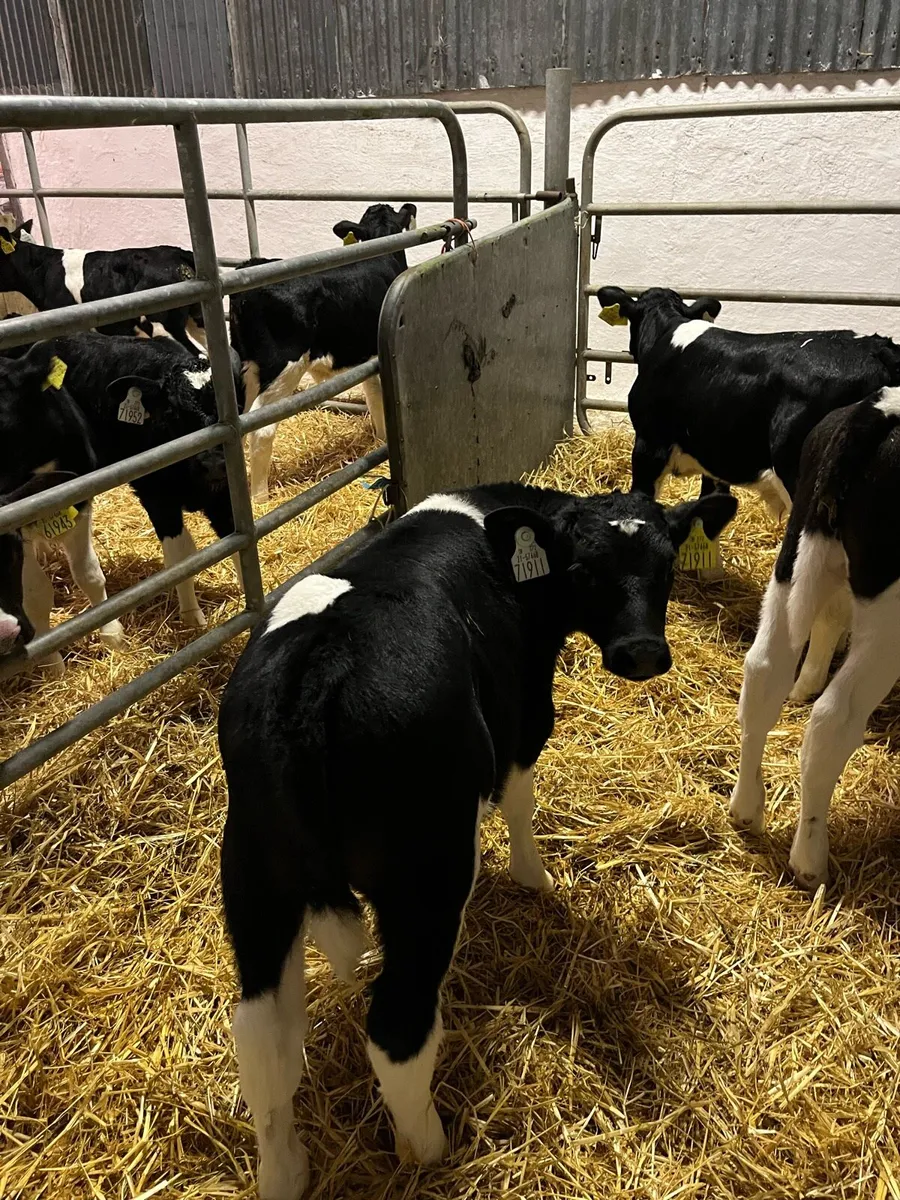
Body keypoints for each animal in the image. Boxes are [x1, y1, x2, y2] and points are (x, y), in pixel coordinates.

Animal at [217, 478, 737, 1198]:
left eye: (666, 567)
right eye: (583, 570)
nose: (641, 653)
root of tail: (314, 669)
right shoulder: (524, 716)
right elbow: (520, 797)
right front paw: (534, 876)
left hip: (255, 871)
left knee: (261, 1036)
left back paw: (285, 1172)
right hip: (423, 876)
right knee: (396, 1028)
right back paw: (430, 1147)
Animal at [230, 202, 417, 503]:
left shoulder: (367, 356)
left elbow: (373, 394)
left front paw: (378, 440)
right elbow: (378, 395)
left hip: (249, 367)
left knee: (245, 419)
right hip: (284, 367)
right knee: (262, 428)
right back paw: (261, 498)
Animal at [729, 388, 900, 888]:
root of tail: (877, 412)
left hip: (797, 554)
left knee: (765, 670)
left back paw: (745, 809)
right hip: (891, 612)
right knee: (833, 718)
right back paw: (809, 858)